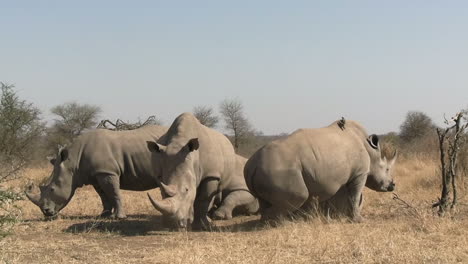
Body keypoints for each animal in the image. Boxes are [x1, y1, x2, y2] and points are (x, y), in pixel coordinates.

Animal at [25, 126, 168, 219]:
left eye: (52, 189)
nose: (46, 212)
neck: (73, 161)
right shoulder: (96, 175)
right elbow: (104, 196)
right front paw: (104, 215)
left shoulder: (107, 172)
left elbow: (114, 193)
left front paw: (119, 217)